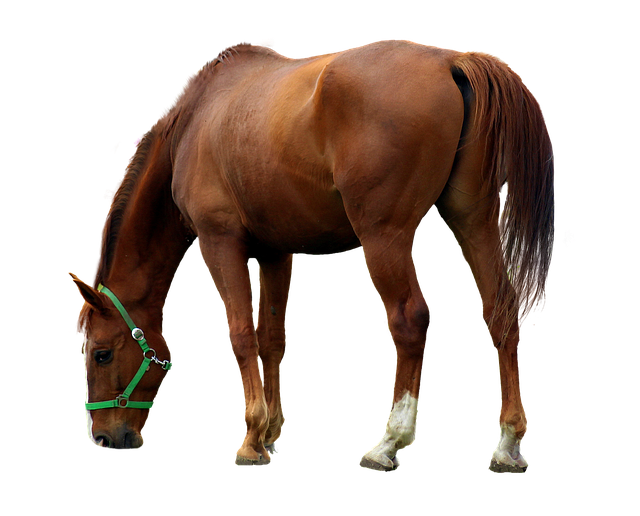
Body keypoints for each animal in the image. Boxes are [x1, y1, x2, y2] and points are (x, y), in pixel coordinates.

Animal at [70, 38, 555, 472]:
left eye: (102, 354)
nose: (104, 436)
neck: (194, 124)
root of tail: (451, 61)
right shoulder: (274, 253)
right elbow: (269, 339)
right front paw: (267, 437)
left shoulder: (219, 241)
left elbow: (243, 336)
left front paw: (250, 438)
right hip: (473, 220)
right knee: (500, 312)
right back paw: (508, 443)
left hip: (384, 236)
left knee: (409, 320)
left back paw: (388, 442)